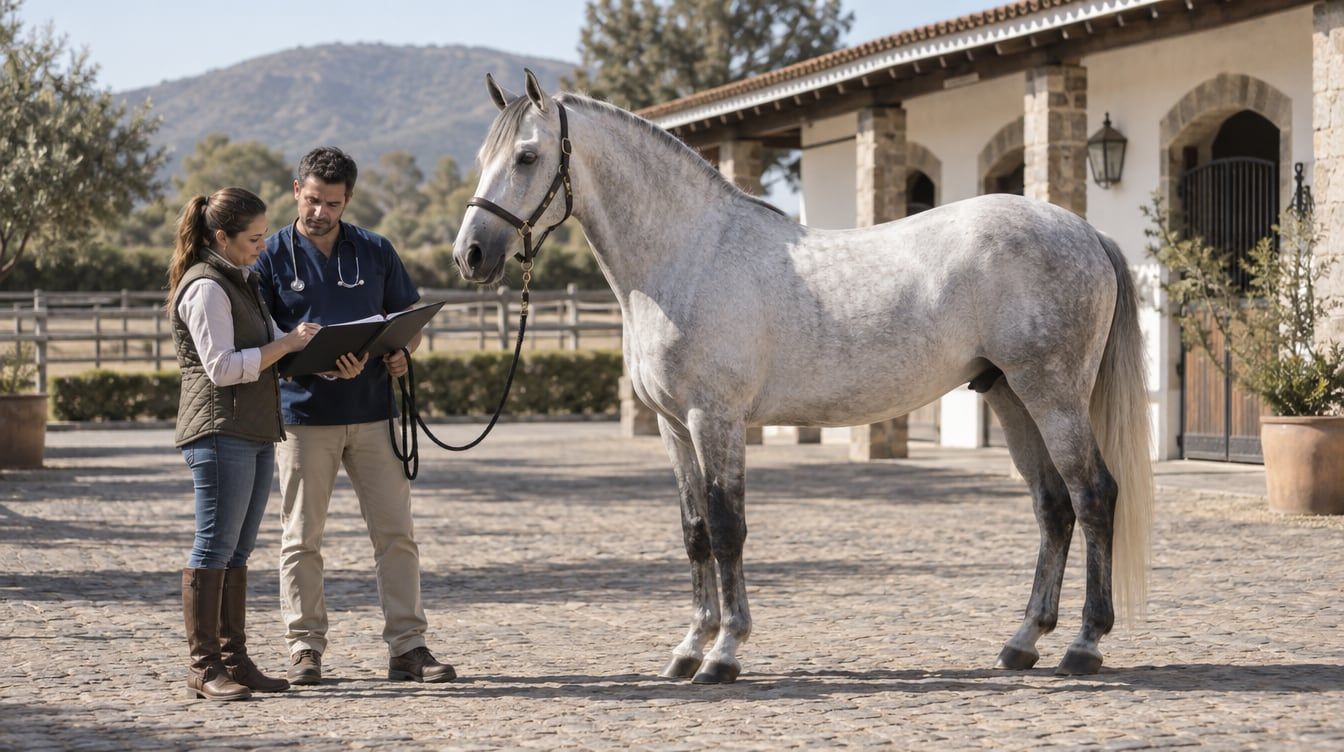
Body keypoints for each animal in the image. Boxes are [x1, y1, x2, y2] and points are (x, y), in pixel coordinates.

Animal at [452, 69, 1154, 685]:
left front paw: (725, 653)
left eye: (526, 156)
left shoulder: (716, 420)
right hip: (1010, 396)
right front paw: (689, 647)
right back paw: (1022, 642)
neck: (689, 256)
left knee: (1094, 497)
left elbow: (728, 527)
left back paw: (1084, 646)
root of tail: (1085, 230)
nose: (471, 255)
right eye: (484, 156)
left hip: (1053, 396)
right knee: (1053, 507)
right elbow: (695, 533)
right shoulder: (673, 426)